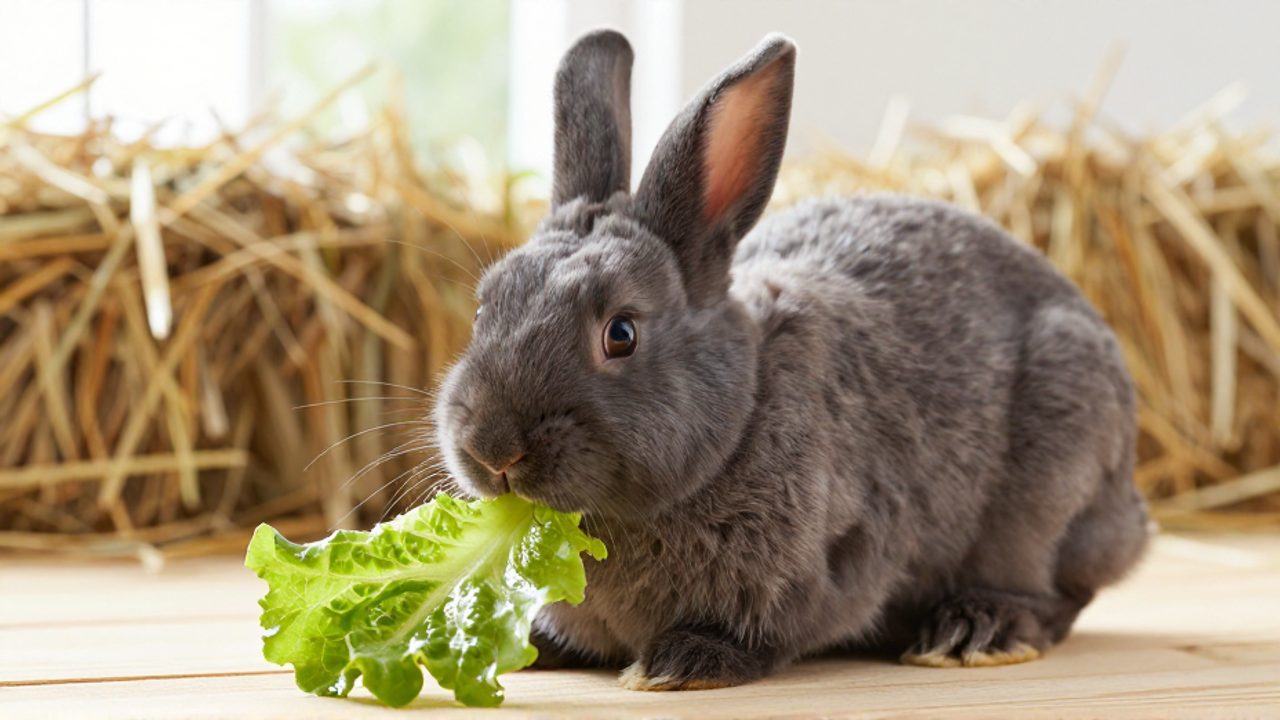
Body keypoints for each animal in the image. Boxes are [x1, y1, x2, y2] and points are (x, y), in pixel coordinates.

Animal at [432, 29, 1151, 691]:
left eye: (622, 334)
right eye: (484, 309)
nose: (494, 450)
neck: (741, 412)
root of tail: (1133, 517)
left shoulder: (837, 555)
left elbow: (773, 627)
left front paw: (682, 663)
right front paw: (535, 642)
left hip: (1055, 480)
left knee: (1057, 591)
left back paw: (975, 631)